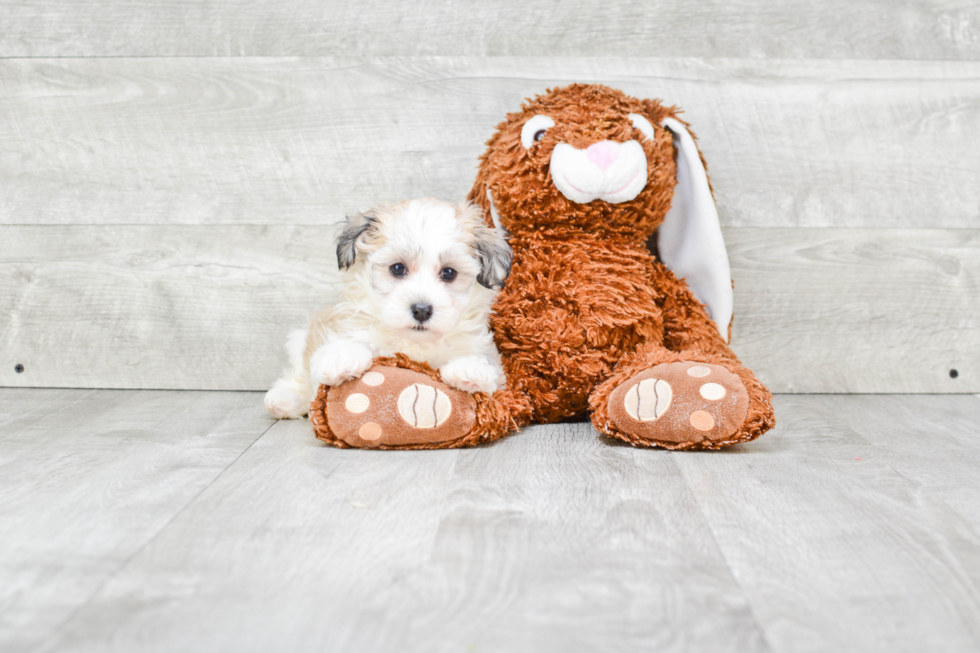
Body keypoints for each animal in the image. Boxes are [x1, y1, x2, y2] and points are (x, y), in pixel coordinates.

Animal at [266, 197, 512, 418]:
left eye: (449, 273)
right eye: (397, 268)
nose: (421, 310)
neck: (414, 342)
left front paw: (471, 368)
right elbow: (331, 353)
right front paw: (342, 357)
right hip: (299, 340)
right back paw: (284, 400)